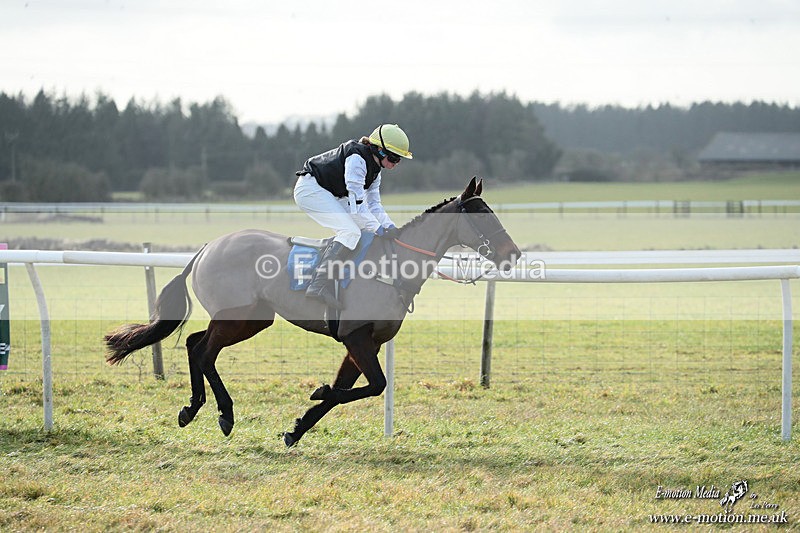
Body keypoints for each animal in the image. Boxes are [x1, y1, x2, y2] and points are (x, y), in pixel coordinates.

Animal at [104, 177, 520, 446]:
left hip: (250, 319)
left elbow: (348, 390)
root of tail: (208, 247)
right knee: (204, 351)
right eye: (482, 215)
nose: (512, 254)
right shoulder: (355, 336)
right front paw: (317, 393)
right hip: (238, 317)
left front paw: (296, 428)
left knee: (194, 343)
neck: (392, 267)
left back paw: (193, 409)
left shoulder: (363, 343)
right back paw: (223, 413)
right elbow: (373, 386)